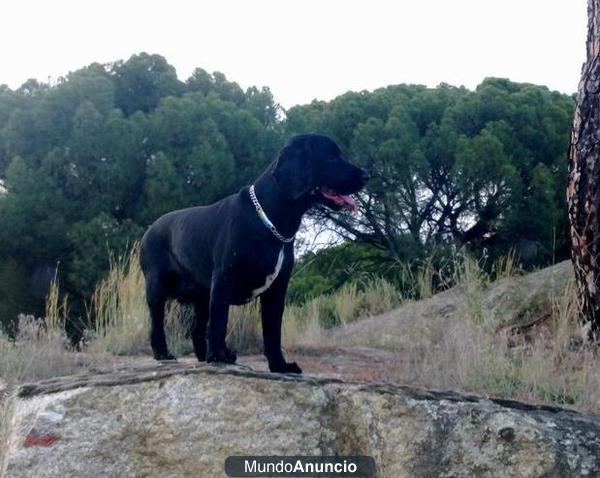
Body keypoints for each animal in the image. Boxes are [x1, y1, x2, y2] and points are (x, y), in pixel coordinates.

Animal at [139, 134, 366, 374]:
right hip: (157, 290)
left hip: (201, 296)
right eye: (331, 156)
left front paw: (280, 365)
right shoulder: (223, 280)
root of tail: (149, 230)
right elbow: (220, 323)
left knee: (197, 329)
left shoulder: (277, 289)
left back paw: (203, 355)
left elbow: (272, 332)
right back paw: (165, 353)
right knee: (157, 325)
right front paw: (219, 356)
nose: (366, 175)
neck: (270, 219)